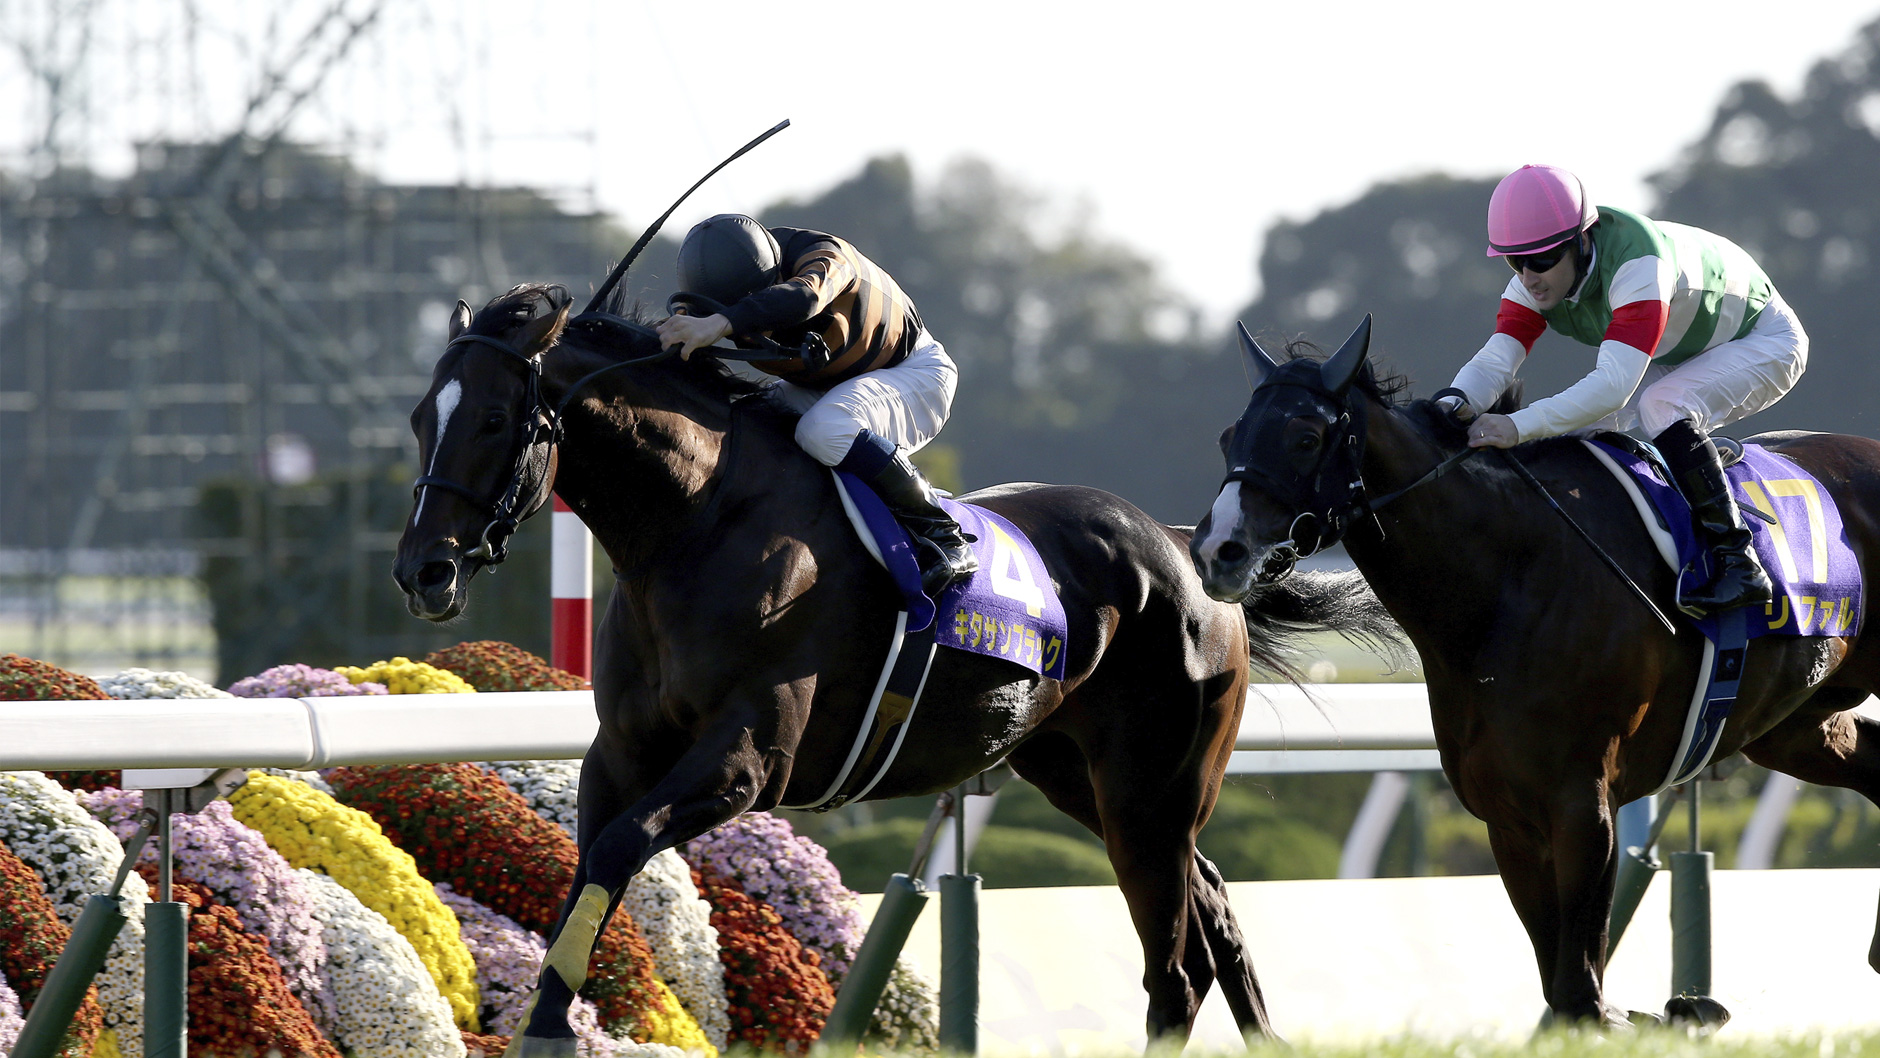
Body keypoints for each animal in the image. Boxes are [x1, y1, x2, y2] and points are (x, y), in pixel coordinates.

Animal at [390, 283, 1404, 1053]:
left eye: (493, 416)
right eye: (416, 420)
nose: (422, 571)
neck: (697, 525)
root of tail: (1193, 545)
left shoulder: (748, 761)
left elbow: (613, 849)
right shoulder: (621, 751)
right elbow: (587, 864)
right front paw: (547, 1022)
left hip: (1154, 787)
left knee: (1177, 967)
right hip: (1079, 775)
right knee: (1216, 908)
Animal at [1187, 314, 1880, 1026]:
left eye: (1306, 437)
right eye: (1228, 437)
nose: (1216, 552)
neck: (1506, 581)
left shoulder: (1584, 801)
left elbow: (1580, 990)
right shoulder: (1508, 813)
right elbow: (1563, 988)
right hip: (1794, 722)